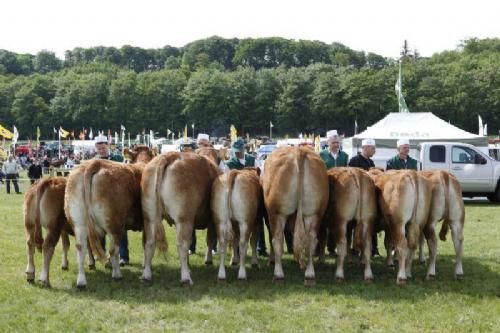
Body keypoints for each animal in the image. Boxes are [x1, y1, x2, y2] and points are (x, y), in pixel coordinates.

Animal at [140, 152, 220, 284]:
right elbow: (209, 240)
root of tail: (169, 156)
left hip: (150, 217)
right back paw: (186, 278)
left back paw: (147, 276)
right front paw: (207, 260)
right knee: (182, 244)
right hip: (184, 219)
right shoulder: (211, 221)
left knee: (150, 243)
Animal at [262, 147, 328, 284]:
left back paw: (278, 275)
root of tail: (299, 151)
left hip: (277, 213)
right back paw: (309, 275)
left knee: (277, 239)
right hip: (314, 213)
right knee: (311, 239)